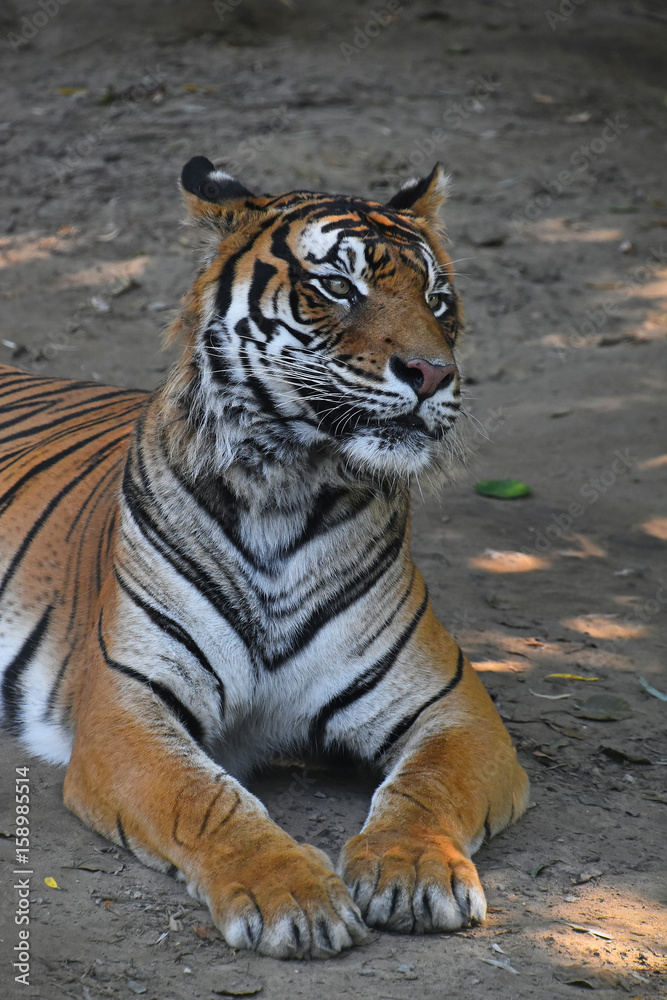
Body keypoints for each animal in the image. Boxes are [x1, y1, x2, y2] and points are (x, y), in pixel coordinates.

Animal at [0, 156, 529, 959]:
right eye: (338, 287)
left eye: (438, 300)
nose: (432, 373)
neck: (286, 490)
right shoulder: (127, 710)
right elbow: (207, 799)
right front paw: (293, 896)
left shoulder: (453, 707)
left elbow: (426, 787)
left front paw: (412, 869)